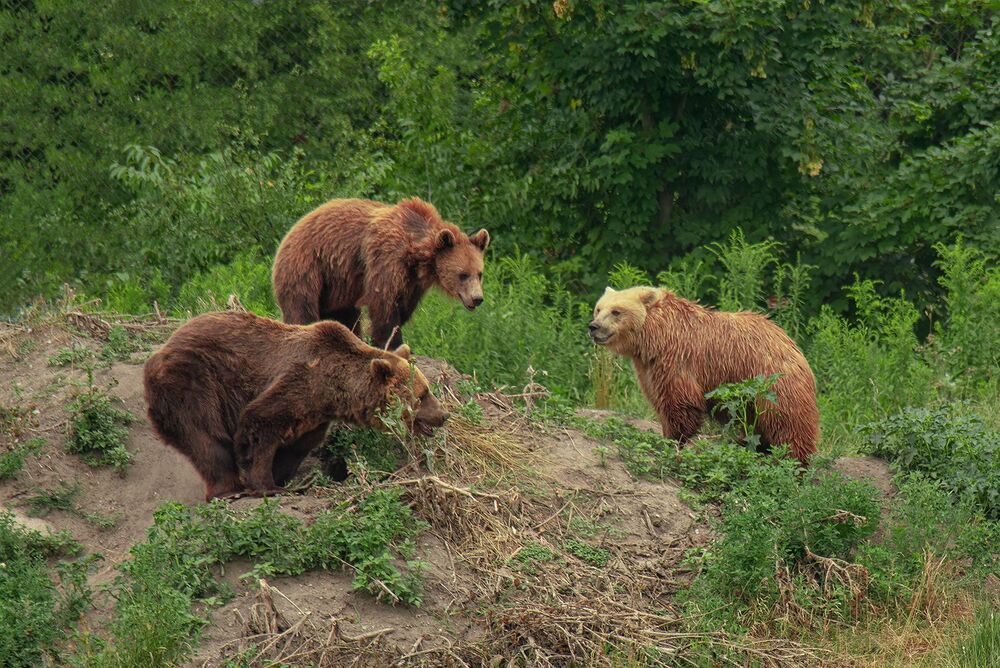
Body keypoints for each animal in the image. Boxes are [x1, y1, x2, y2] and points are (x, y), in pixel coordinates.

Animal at [143, 311, 448, 501]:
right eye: (423, 394)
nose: (444, 415)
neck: (335, 387)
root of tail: (157, 354)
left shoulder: (315, 412)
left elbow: (298, 445)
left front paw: (283, 478)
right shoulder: (297, 383)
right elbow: (258, 426)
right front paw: (266, 485)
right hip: (192, 383)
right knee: (206, 437)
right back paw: (228, 490)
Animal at [272, 197, 490, 349]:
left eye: (479, 273)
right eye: (463, 274)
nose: (477, 298)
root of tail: (289, 233)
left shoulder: (412, 282)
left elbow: (403, 307)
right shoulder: (386, 259)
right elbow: (383, 302)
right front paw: (392, 342)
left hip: (338, 284)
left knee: (345, 314)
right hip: (307, 267)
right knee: (302, 307)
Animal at [588, 286, 819, 463]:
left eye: (616, 311)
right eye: (598, 308)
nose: (594, 327)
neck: (654, 336)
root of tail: (793, 345)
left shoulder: (677, 360)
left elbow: (680, 404)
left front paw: (671, 440)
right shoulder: (648, 367)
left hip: (772, 381)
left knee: (787, 421)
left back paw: (793, 460)